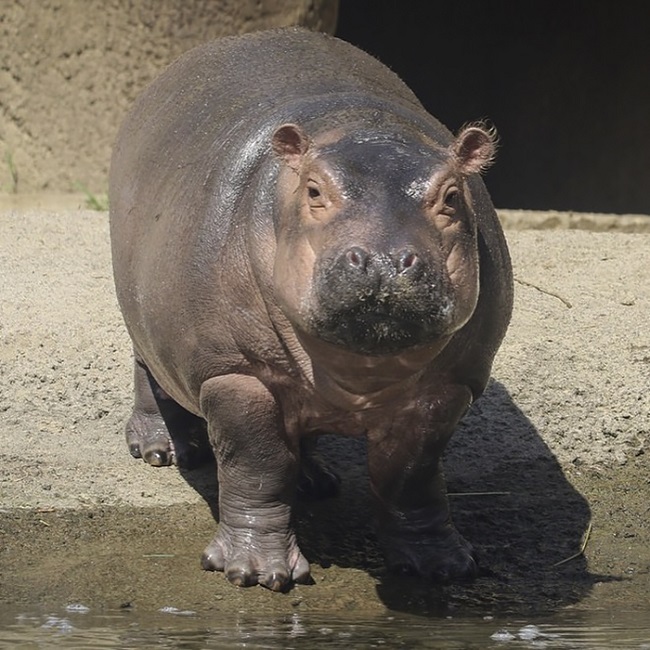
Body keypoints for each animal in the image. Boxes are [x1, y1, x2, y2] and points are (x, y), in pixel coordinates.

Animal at [109, 27, 513, 592]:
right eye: (315, 189)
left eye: (452, 195)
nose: (384, 259)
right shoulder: (236, 374)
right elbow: (256, 465)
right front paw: (255, 572)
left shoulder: (448, 388)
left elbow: (410, 476)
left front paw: (443, 565)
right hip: (145, 315)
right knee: (148, 369)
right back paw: (164, 450)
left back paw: (316, 481)